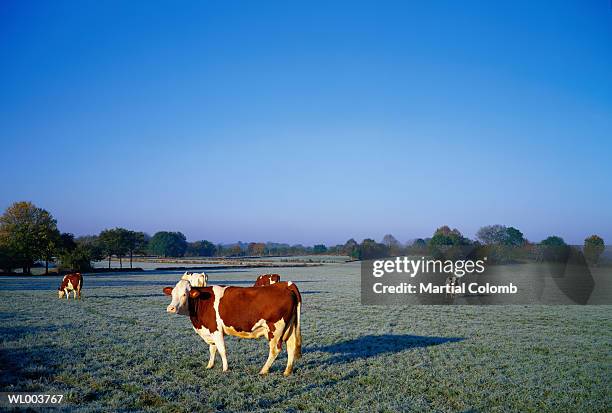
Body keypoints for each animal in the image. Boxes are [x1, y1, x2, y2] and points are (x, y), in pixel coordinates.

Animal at [163, 280, 302, 374]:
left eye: (184, 294)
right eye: (172, 294)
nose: (171, 308)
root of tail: (286, 284)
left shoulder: (216, 329)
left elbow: (221, 350)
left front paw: (225, 369)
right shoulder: (210, 331)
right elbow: (212, 349)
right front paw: (209, 366)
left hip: (275, 329)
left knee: (275, 350)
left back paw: (263, 370)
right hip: (289, 327)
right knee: (291, 346)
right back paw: (287, 371)